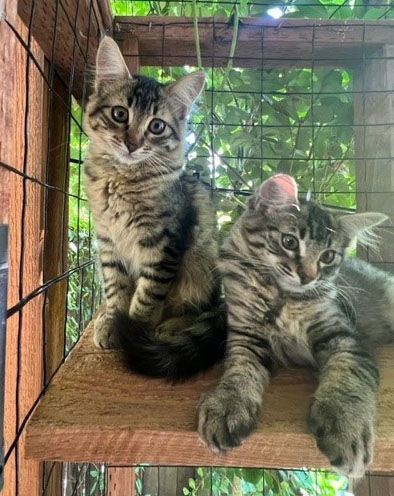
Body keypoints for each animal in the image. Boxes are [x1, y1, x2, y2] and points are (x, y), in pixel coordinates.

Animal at [83, 37, 225, 380]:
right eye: (120, 114)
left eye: (157, 126)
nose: (132, 144)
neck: (120, 180)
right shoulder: (108, 240)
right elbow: (116, 288)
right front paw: (113, 321)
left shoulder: (163, 243)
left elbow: (147, 295)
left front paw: (134, 333)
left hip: (203, 265)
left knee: (199, 311)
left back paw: (170, 328)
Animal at [199, 173, 392, 476]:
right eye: (289, 242)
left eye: (328, 256)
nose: (308, 278)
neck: (281, 297)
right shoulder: (245, 336)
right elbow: (240, 372)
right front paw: (228, 405)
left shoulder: (344, 335)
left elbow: (348, 378)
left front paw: (344, 426)